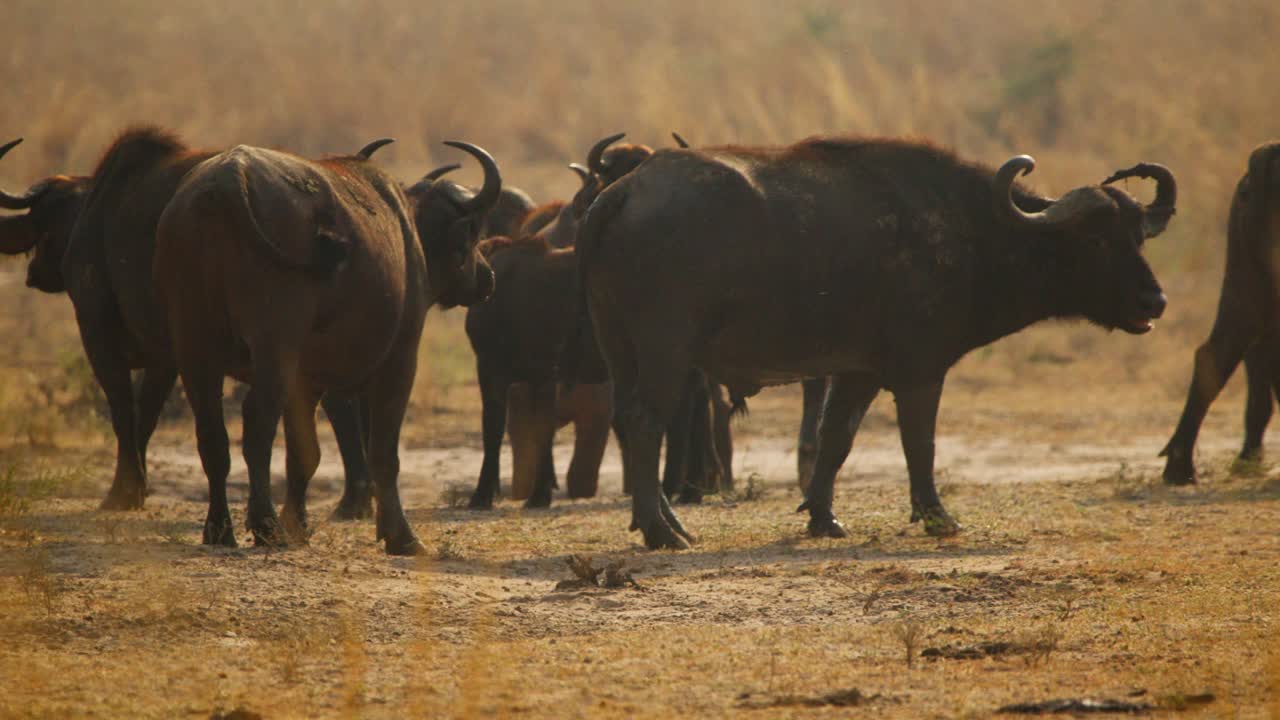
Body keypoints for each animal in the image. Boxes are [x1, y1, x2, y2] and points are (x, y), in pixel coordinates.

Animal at [152, 139, 499, 554]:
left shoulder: (306, 382)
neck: (406, 232)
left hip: (194, 347)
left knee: (212, 437)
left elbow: (305, 455)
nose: (487, 277)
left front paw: (298, 524)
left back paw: (220, 530)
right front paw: (400, 535)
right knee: (256, 424)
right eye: (472, 234)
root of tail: (227, 181)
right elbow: (383, 453)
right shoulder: (400, 362)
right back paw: (265, 525)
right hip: (273, 345)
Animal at [576, 134, 1175, 549]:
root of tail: (623, 192)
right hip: (665, 352)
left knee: (626, 423)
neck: (971, 229)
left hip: (618, 349)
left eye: (1139, 236)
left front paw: (823, 518)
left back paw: (658, 520)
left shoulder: (857, 370)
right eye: (1095, 240)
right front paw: (938, 517)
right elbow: (920, 445)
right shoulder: (920, 371)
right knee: (645, 422)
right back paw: (663, 532)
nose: (1154, 301)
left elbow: (835, 439)